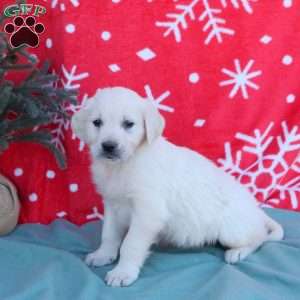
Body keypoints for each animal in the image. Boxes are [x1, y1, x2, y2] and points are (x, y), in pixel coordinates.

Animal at [71, 86, 284, 286]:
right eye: (97, 122)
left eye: (128, 124)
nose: (108, 146)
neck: (122, 165)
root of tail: (256, 211)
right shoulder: (112, 205)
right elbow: (108, 234)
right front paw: (103, 255)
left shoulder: (148, 212)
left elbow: (130, 244)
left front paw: (123, 272)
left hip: (231, 231)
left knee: (259, 238)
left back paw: (237, 252)